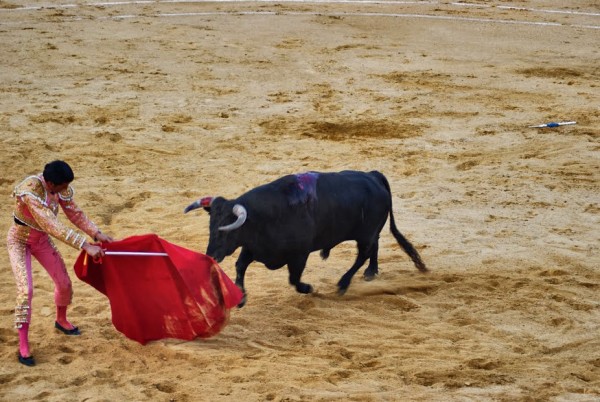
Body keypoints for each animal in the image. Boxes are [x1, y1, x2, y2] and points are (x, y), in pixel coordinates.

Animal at [185, 170, 424, 308]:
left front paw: (309, 288)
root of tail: (374, 176)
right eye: (211, 226)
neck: (264, 216)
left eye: (227, 230)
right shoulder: (253, 247)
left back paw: (343, 284)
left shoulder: (299, 255)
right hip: (369, 232)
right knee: (374, 246)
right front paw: (241, 297)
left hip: (365, 234)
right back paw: (370, 272)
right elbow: (240, 266)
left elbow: (294, 279)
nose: (211, 255)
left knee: (363, 254)